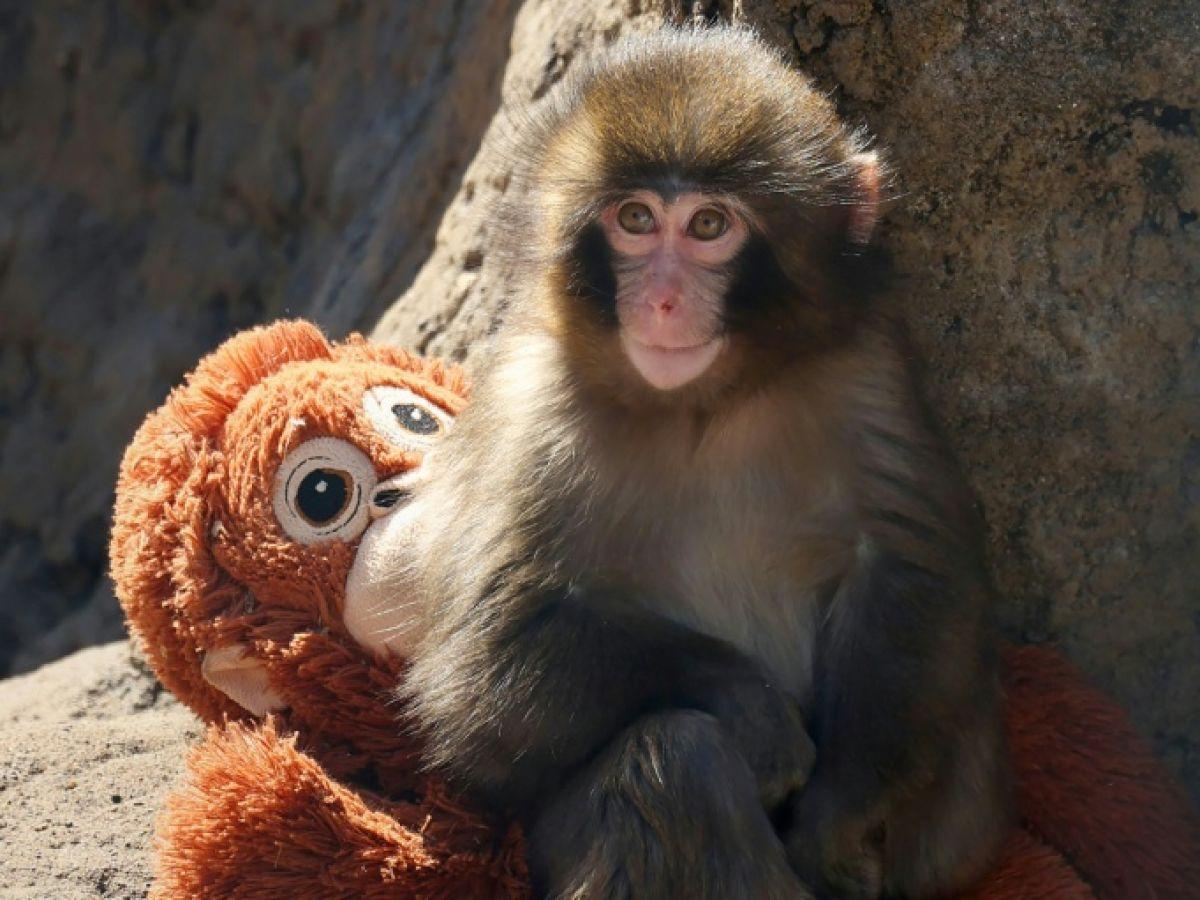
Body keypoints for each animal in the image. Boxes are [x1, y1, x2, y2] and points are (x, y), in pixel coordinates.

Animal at [399, 25, 1012, 899]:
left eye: (709, 225)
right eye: (634, 218)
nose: (660, 300)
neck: (703, 406)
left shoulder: (867, 367)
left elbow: (909, 571)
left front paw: (836, 820)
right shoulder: (532, 405)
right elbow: (487, 666)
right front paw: (751, 707)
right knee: (673, 760)